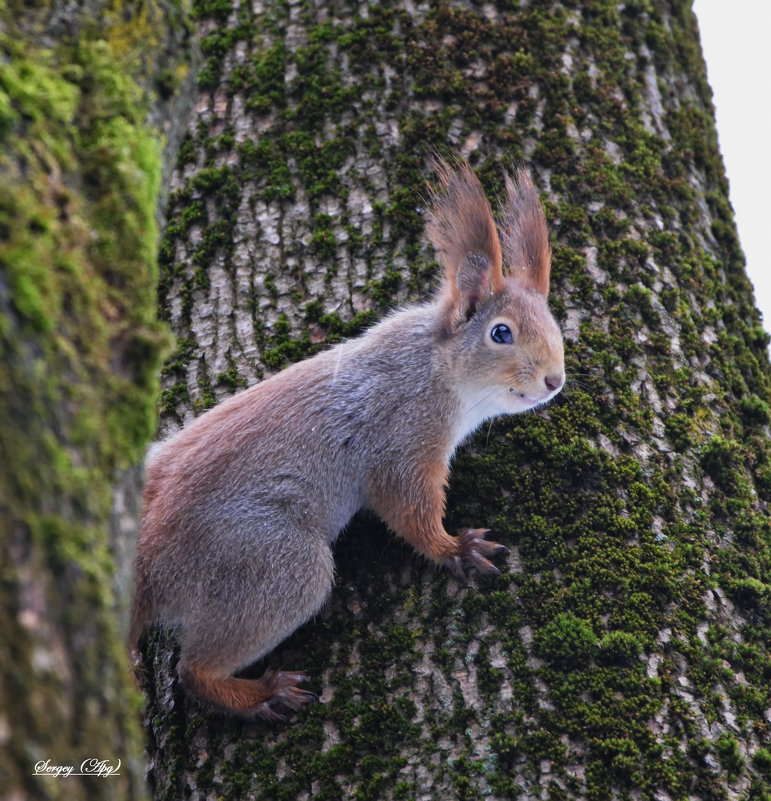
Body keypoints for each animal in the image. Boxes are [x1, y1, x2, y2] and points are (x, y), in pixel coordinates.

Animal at [131, 158, 568, 720]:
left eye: (555, 325)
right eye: (501, 333)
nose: (554, 380)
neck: (434, 365)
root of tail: (146, 556)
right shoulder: (401, 436)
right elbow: (407, 508)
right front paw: (455, 547)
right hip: (271, 564)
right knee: (194, 672)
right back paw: (261, 695)